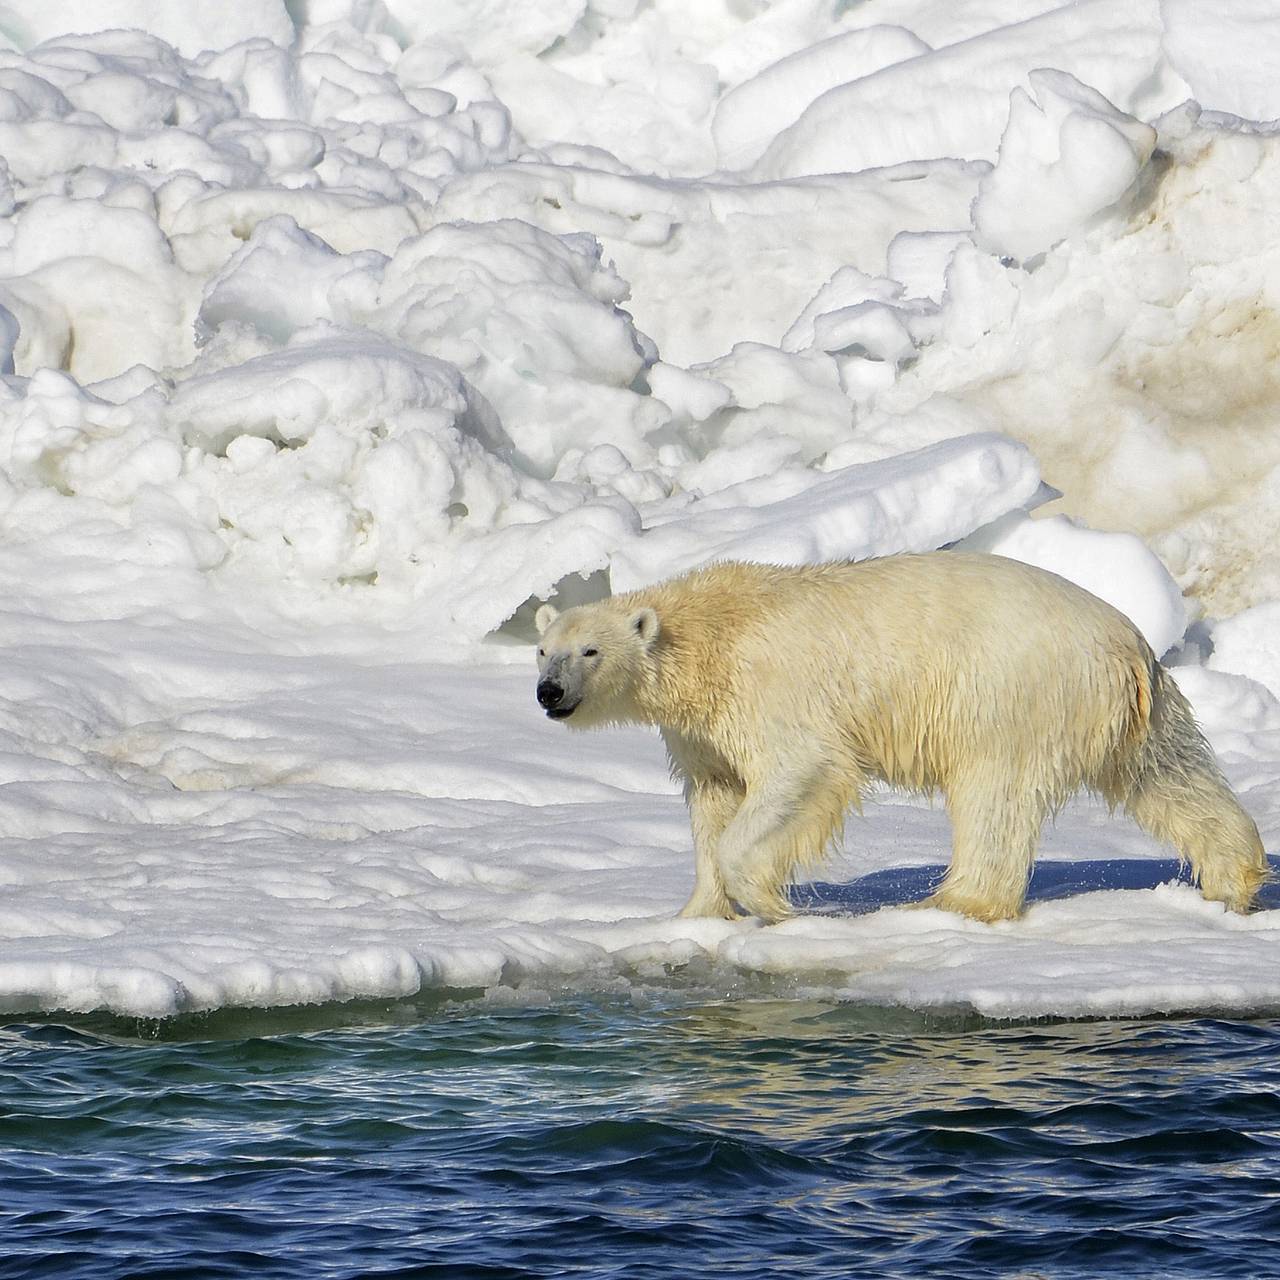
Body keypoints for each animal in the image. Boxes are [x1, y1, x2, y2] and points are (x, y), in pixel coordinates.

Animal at [532, 550, 1269, 921]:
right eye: (544, 650)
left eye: (590, 651)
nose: (549, 693)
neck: (712, 634)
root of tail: (1127, 645)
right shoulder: (703, 730)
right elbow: (714, 800)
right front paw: (697, 914)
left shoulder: (772, 691)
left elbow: (801, 772)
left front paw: (771, 903)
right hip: (1135, 711)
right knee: (1170, 776)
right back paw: (1232, 881)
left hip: (1010, 693)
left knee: (994, 796)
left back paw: (954, 902)